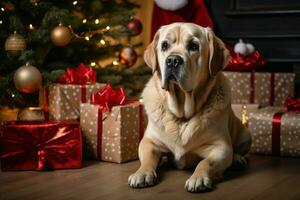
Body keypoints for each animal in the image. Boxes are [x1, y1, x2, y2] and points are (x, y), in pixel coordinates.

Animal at [127, 23, 251, 192]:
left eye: (193, 46)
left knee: (237, 150)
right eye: (164, 46)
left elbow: (205, 162)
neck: (182, 114)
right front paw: (142, 173)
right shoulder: (149, 141)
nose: (173, 60)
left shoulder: (221, 147)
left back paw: (237, 159)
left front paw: (198, 178)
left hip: (245, 135)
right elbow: (147, 159)